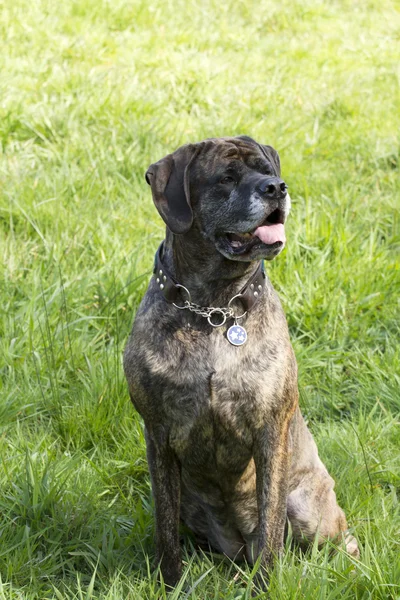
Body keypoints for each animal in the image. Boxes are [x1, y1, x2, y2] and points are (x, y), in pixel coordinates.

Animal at [122, 135, 360, 584]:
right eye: (226, 177)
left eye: (268, 170)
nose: (276, 188)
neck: (214, 308)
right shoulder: (158, 435)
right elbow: (165, 526)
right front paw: (170, 582)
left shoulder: (270, 434)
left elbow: (270, 524)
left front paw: (267, 584)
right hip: (192, 502)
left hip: (310, 507)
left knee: (337, 537)